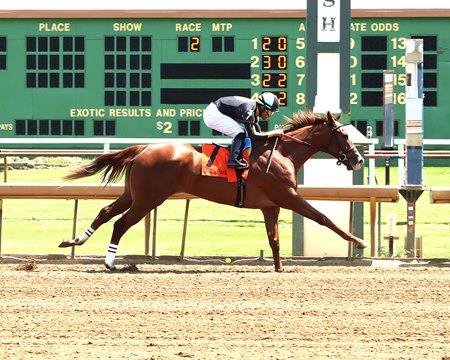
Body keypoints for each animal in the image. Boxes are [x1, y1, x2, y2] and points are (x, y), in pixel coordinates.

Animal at [59, 111, 368, 272]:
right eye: (344, 134)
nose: (358, 160)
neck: (283, 153)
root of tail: (143, 148)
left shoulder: (271, 205)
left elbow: (275, 240)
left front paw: (279, 268)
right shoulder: (289, 197)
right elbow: (323, 218)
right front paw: (360, 242)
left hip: (134, 194)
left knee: (105, 212)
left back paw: (73, 240)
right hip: (148, 199)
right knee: (120, 223)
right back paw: (109, 262)